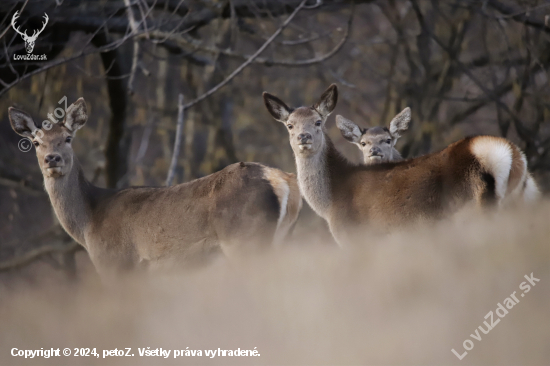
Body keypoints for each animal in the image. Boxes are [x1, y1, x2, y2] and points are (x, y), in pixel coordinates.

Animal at [8, 97, 302, 278]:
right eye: (36, 142)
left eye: (68, 138)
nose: (52, 159)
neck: (89, 223)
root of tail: (281, 180)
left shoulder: (118, 264)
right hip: (280, 239)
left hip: (245, 238)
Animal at [264, 83, 544, 246]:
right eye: (290, 125)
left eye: (318, 121)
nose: (304, 137)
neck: (331, 202)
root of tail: (511, 156)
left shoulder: (356, 236)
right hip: (527, 201)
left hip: (473, 212)